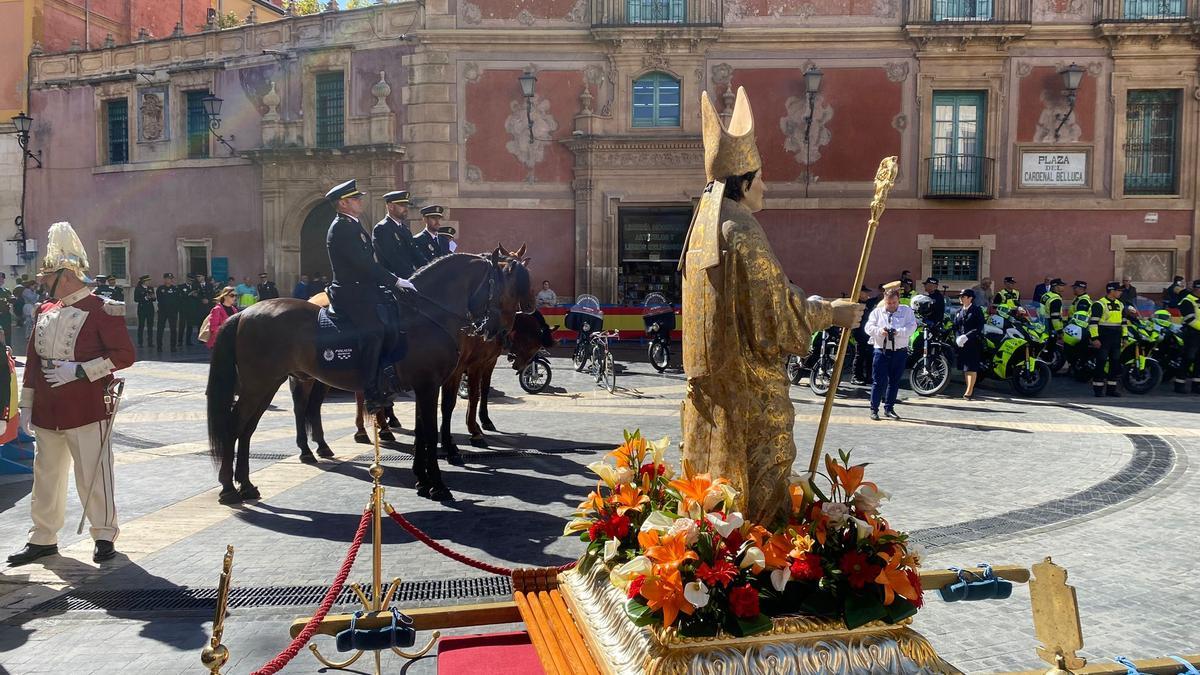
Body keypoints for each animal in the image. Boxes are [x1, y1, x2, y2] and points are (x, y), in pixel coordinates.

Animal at [206, 249, 501, 502]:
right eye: (499, 285)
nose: (494, 330)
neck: (425, 317)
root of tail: (245, 313)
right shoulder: (428, 386)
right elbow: (428, 432)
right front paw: (438, 486)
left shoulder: (423, 388)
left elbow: (420, 431)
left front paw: (423, 481)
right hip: (260, 384)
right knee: (236, 425)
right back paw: (230, 488)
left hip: (269, 384)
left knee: (249, 428)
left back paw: (247, 484)